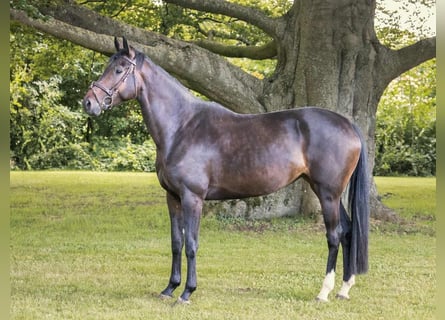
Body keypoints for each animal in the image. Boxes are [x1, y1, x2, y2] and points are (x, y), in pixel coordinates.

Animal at [82, 37, 368, 302]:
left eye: (119, 69)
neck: (182, 126)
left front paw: (187, 292)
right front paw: (169, 288)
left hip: (327, 193)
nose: (88, 103)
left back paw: (324, 292)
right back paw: (344, 290)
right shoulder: (173, 197)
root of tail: (347, 125)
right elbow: (176, 243)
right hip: (328, 193)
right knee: (348, 231)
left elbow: (191, 244)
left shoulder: (193, 198)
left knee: (334, 235)